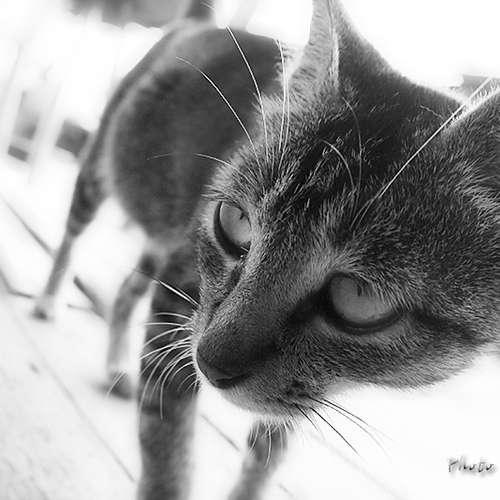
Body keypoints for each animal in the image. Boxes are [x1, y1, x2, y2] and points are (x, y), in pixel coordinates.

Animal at [35, 0, 499, 499]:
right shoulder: (179, 305)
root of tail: (200, 21)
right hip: (100, 176)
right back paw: (48, 302)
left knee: (126, 288)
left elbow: (269, 451)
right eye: (234, 222)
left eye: (359, 298)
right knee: (72, 239)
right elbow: (167, 444)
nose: (209, 362)